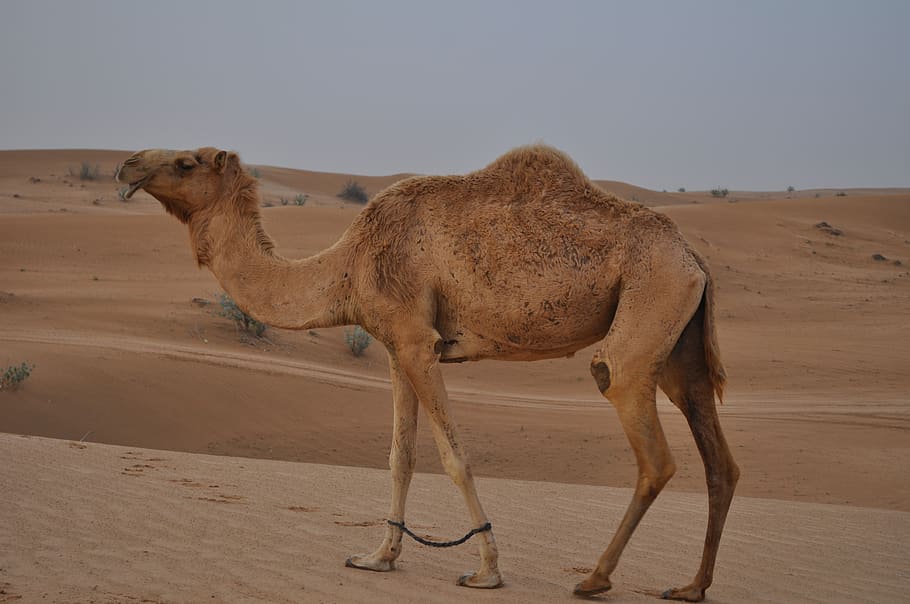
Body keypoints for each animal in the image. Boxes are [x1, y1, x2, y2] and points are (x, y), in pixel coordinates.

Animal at [116, 144, 739, 601]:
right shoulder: (396, 345)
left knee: (648, 442)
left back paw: (594, 578)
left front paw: (486, 569)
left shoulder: (418, 342)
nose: (126, 164)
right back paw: (692, 586)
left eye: (186, 162)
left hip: (646, 312)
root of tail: (693, 258)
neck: (346, 265)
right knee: (720, 462)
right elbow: (401, 456)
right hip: (678, 341)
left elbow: (453, 457)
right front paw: (378, 557)